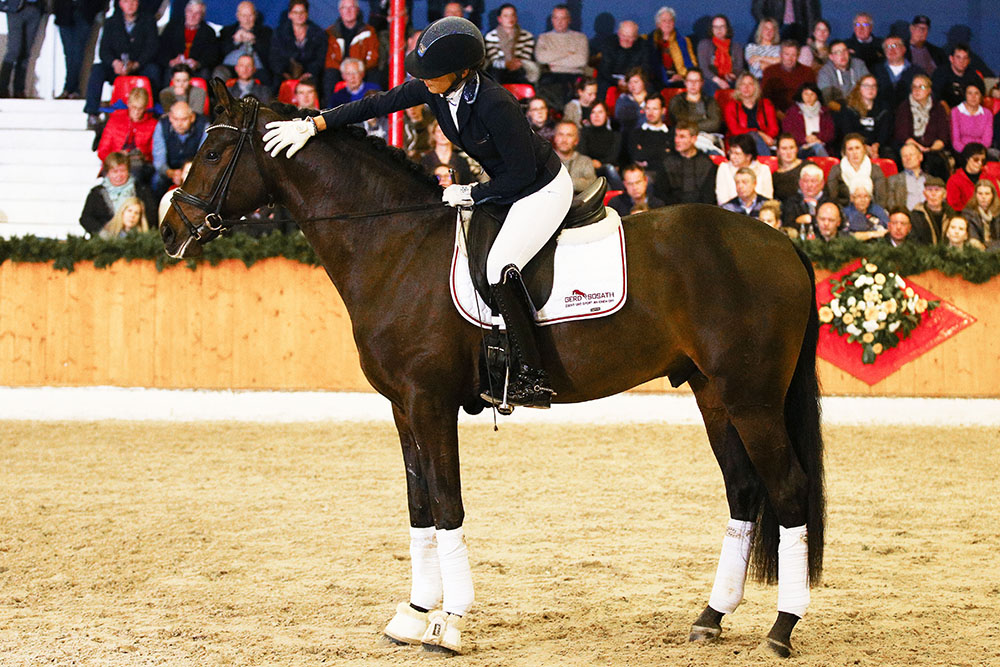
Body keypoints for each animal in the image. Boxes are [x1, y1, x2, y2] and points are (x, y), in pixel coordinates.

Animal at [160, 80, 825, 658]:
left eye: (214, 152)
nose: (169, 230)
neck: (397, 245)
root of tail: (781, 242)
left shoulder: (430, 402)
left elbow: (447, 505)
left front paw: (449, 623)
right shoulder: (402, 407)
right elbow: (420, 507)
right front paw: (412, 614)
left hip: (752, 399)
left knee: (789, 491)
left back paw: (782, 629)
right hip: (713, 394)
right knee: (744, 491)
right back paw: (710, 617)